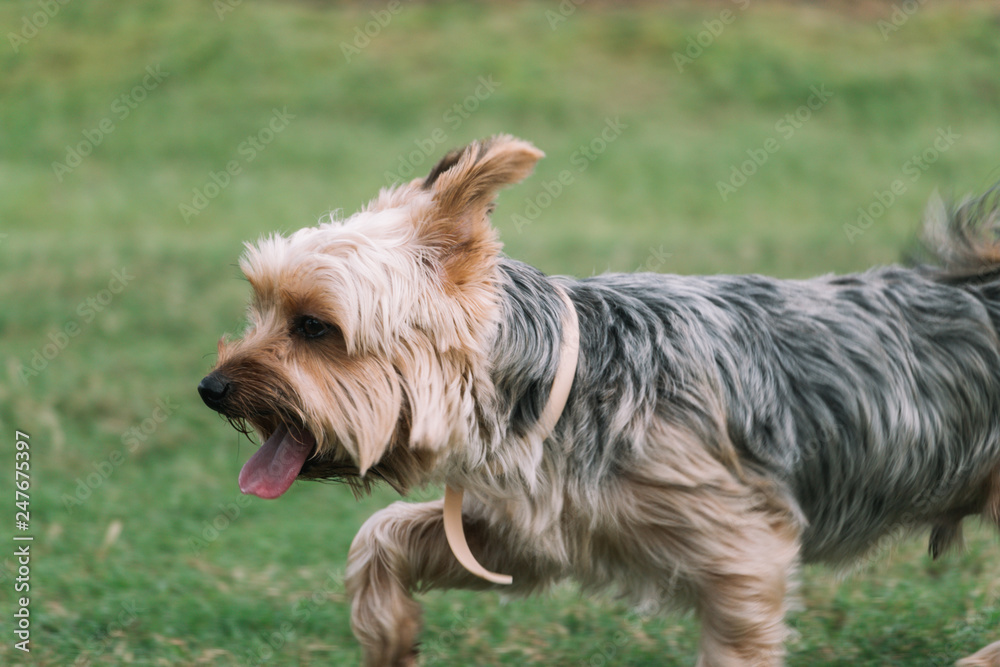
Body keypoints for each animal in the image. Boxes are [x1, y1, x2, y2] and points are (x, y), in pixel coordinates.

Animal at [197, 133, 1000, 664]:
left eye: (315, 327)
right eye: (260, 307)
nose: (211, 388)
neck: (557, 386)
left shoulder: (744, 550)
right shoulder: (526, 531)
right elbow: (381, 535)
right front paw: (390, 634)